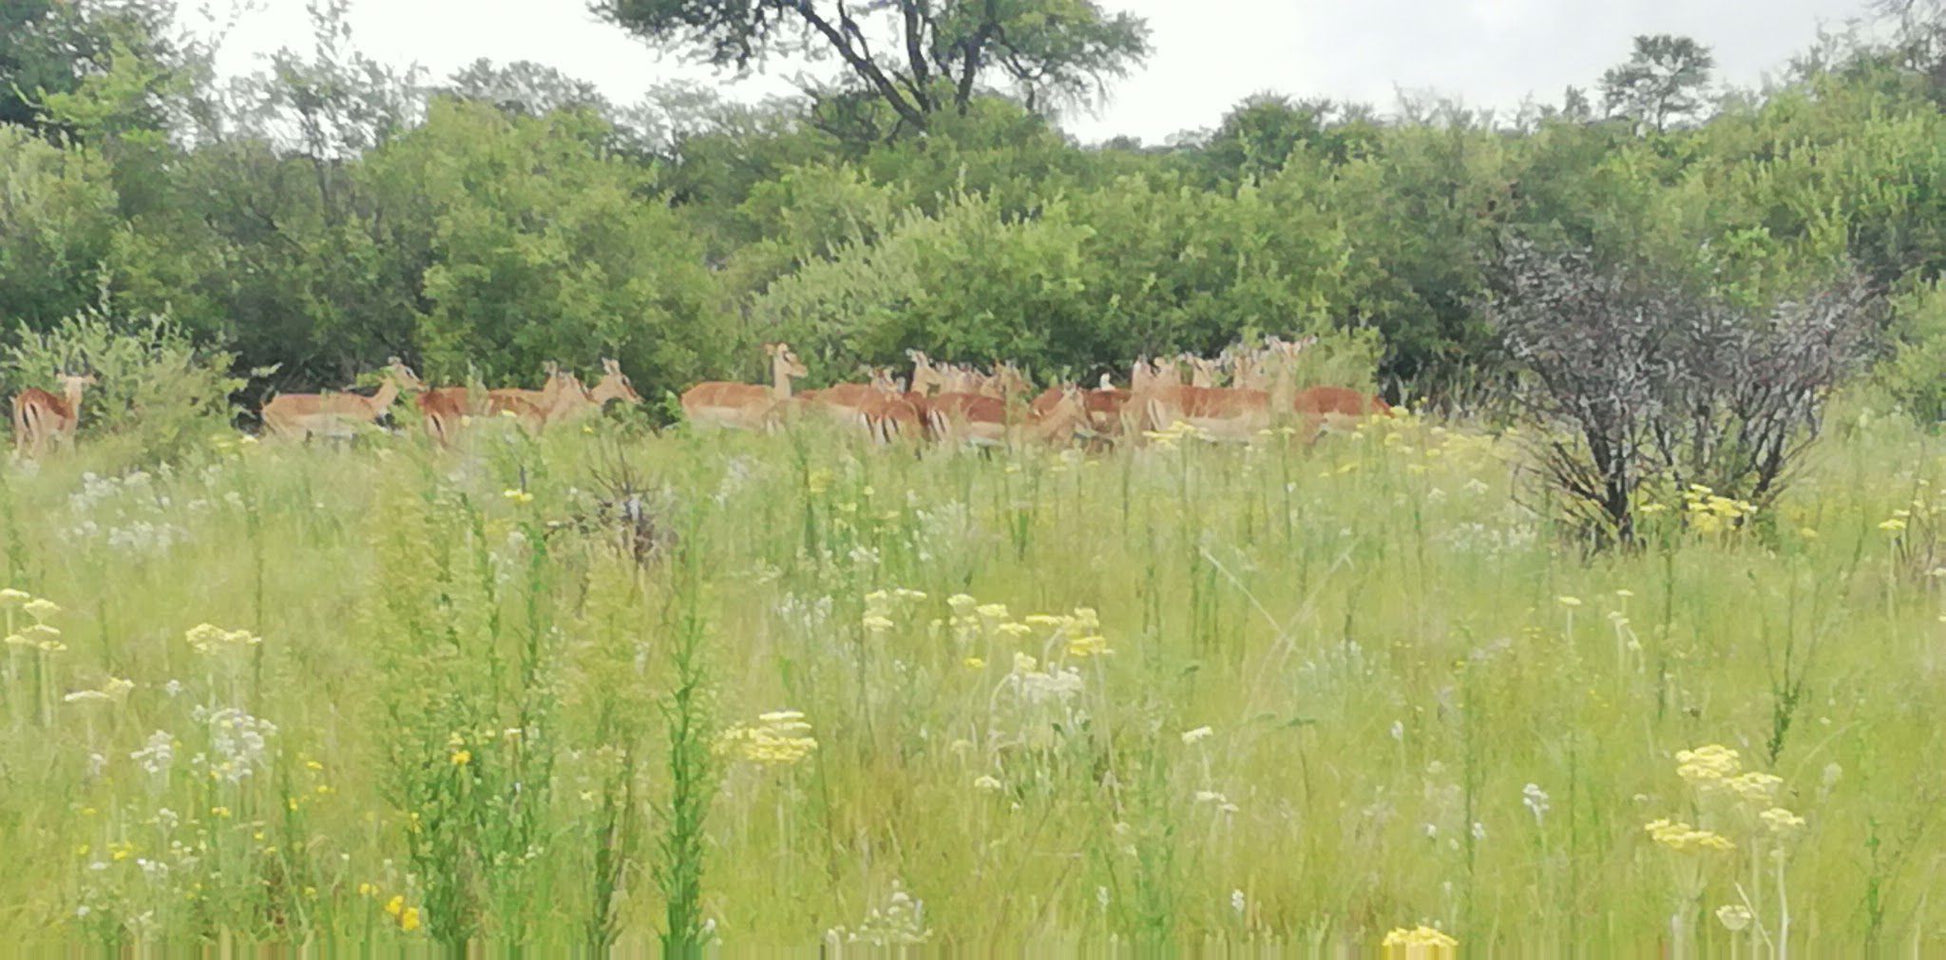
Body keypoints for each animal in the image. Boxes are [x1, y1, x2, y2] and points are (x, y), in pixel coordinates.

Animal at [260, 358, 424, 440]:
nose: (422, 385)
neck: (370, 403)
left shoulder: (345, 437)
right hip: (295, 436)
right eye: (408, 371)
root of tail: (266, 408)